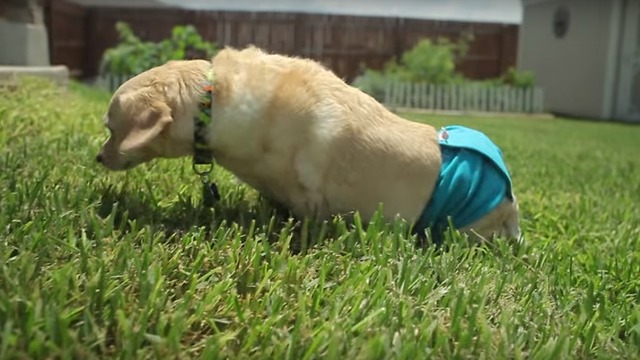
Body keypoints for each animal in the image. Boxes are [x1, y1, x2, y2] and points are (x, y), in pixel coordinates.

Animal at [99, 45, 520, 242]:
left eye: (110, 129)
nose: (99, 156)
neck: (211, 101)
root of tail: (509, 200)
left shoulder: (311, 199)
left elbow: (306, 222)